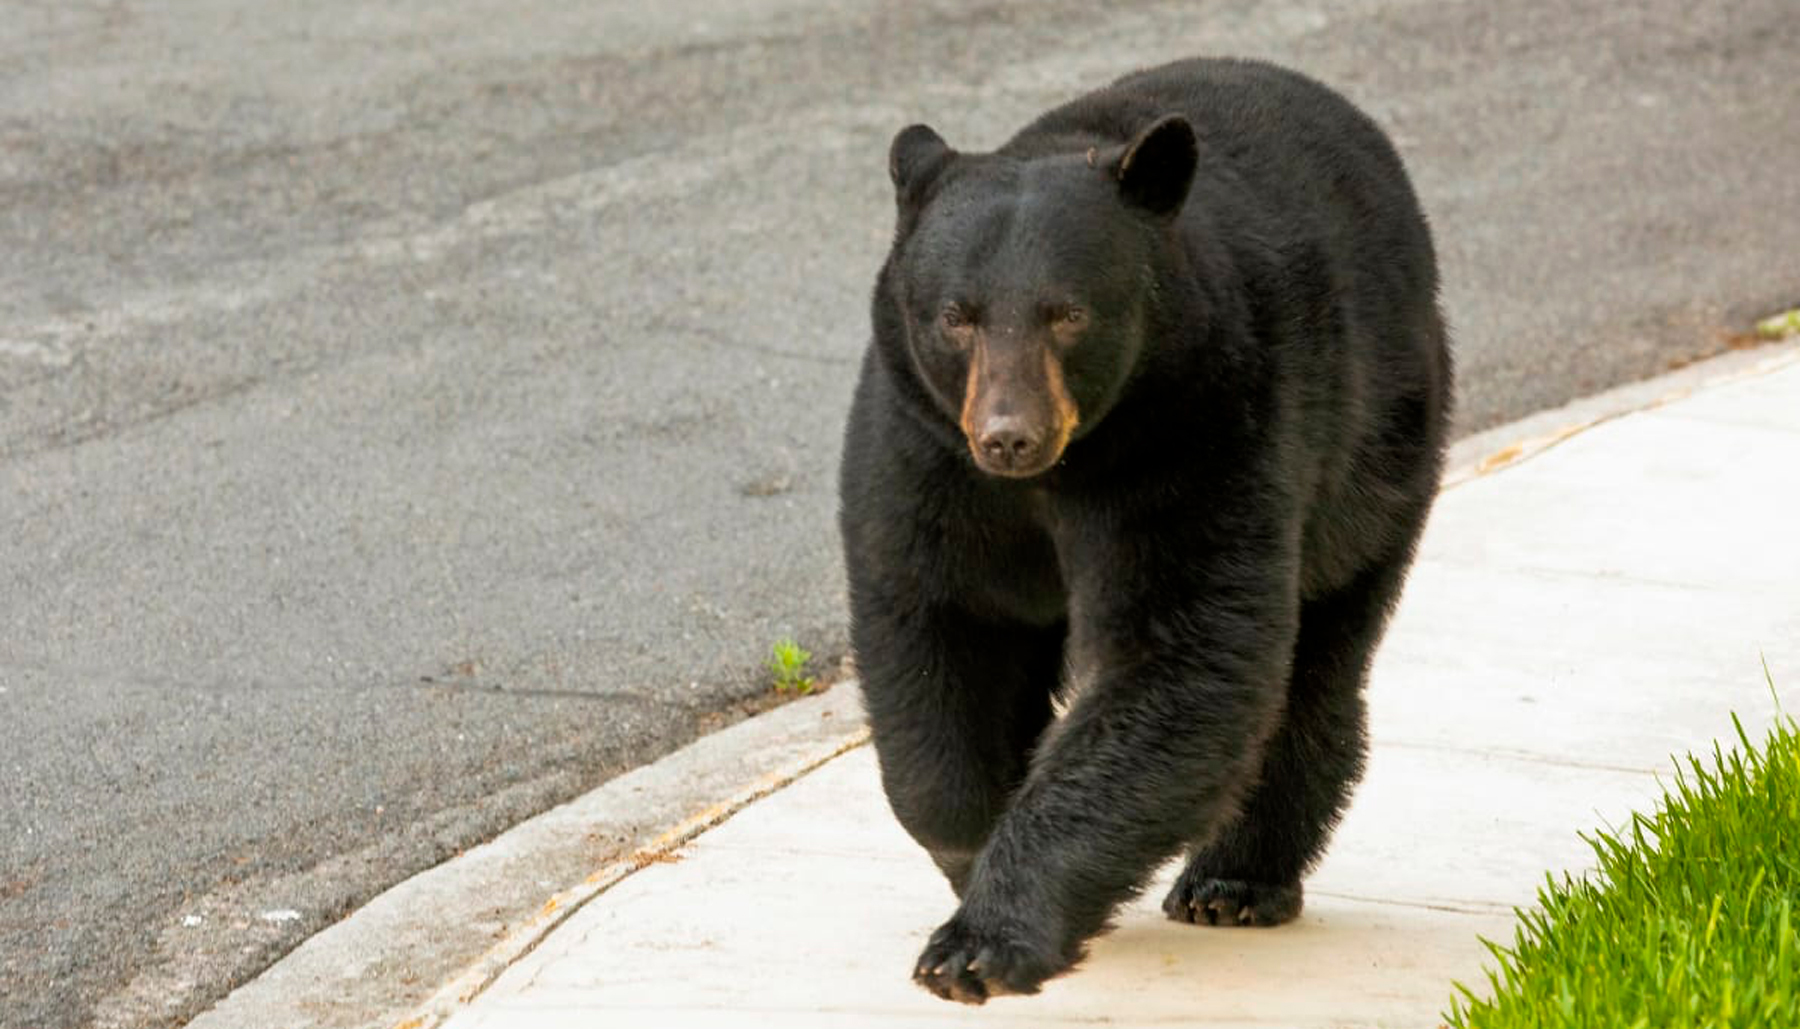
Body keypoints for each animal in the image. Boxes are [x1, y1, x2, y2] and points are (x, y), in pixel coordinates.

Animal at [837, 57, 1451, 1004]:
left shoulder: (1199, 429)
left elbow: (1182, 655)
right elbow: (941, 629)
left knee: (1317, 657)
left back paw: (1236, 878)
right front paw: (972, 855)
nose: (1009, 434)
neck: (1058, 474)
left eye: (1067, 312)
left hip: (1379, 452)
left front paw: (984, 939)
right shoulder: (925, 451)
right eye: (956, 314)